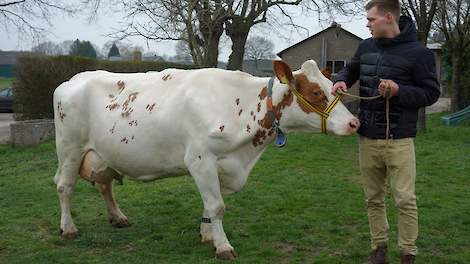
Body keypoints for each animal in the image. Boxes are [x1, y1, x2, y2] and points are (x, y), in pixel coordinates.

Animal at [53, 59, 358, 260]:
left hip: (104, 154)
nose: (354, 123)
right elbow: (217, 206)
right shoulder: (201, 159)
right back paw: (68, 229)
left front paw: (208, 235)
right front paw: (223, 247)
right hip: (69, 149)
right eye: (316, 93)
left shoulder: (221, 165)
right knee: (64, 187)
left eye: (335, 88)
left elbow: (209, 205)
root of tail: (72, 80)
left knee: (104, 184)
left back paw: (118, 217)